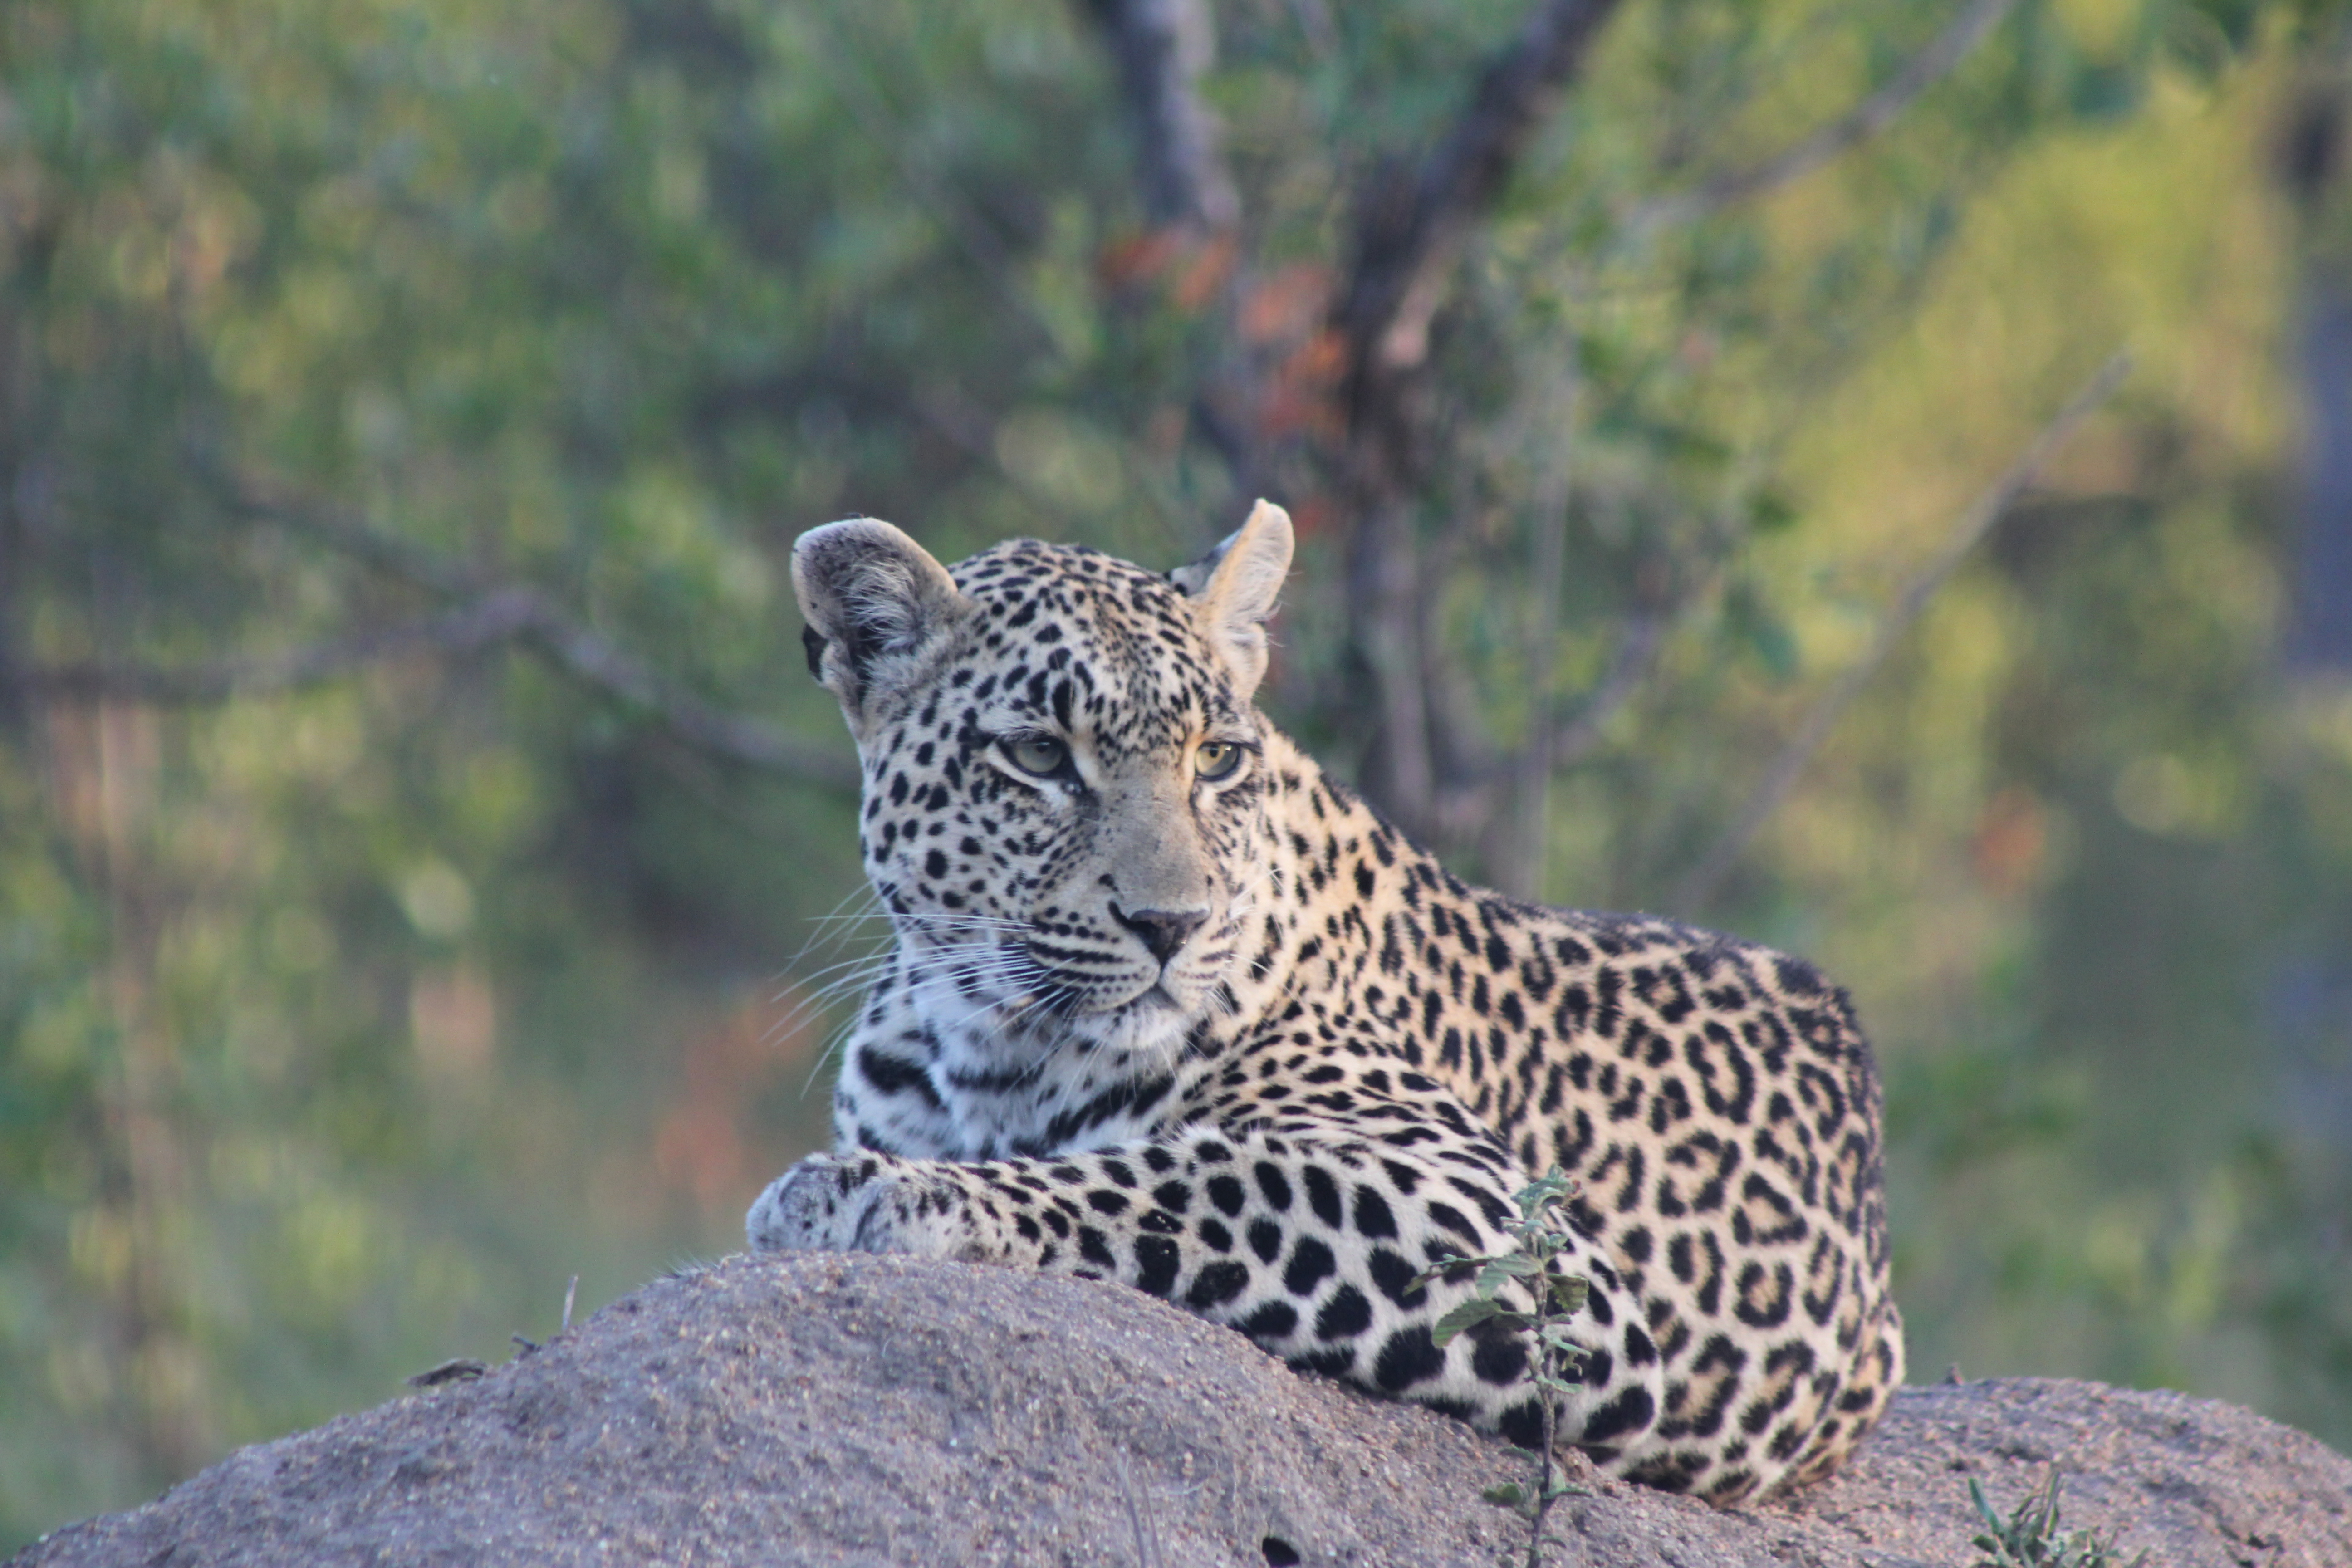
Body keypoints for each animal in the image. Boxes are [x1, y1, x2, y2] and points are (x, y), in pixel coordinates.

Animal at [747, 498, 1904, 1505]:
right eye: (1038, 754)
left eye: (1216, 758)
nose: (1172, 925)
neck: (992, 1046)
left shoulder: (1521, 1240)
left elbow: (1191, 1173)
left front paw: (884, 1195)